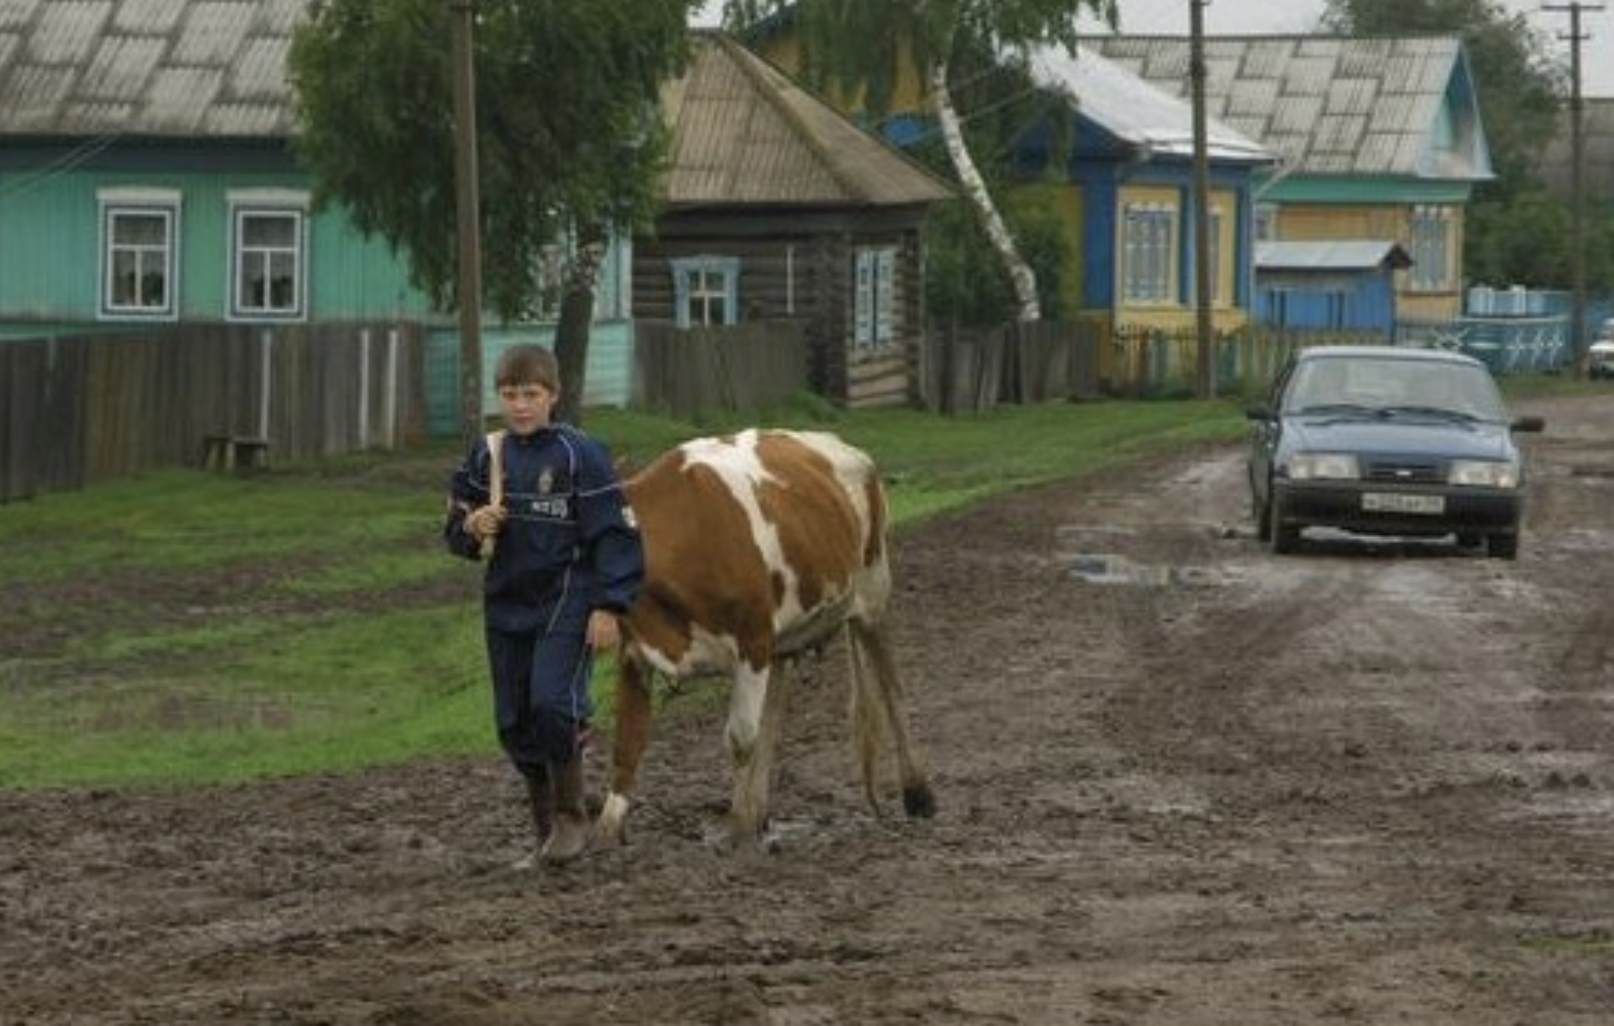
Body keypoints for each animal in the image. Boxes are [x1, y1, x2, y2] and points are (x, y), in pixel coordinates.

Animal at [600, 425, 942, 851]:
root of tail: (837, 443)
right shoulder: (636, 652)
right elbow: (626, 742)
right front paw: (602, 835)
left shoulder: (753, 639)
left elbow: (741, 737)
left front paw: (737, 826)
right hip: (785, 634)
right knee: (775, 710)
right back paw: (760, 812)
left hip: (873, 593)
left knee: (891, 687)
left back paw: (918, 794)